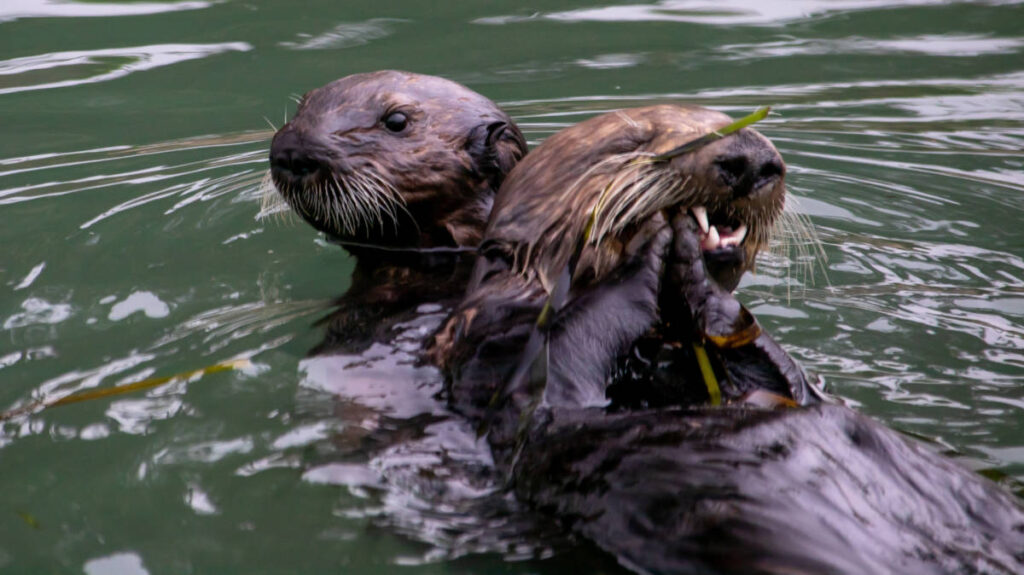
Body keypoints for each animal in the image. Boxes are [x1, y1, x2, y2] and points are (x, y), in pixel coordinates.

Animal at [432, 105, 1024, 574]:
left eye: (723, 120)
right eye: (631, 142)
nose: (749, 157)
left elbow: (784, 383)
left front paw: (702, 283)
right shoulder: (491, 364)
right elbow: (552, 389)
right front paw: (660, 245)